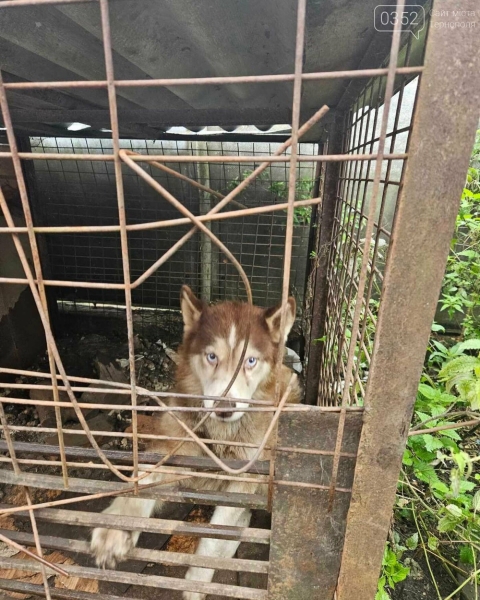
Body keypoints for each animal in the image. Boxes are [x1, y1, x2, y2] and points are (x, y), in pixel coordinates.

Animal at [90, 288, 300, 600]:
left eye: (250, 361)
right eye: (212, 356)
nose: (224, 407)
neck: (221, 435)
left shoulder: (244, 480)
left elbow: (214, 540)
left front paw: (196, 585)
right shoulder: (176, 449)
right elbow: (143, 483)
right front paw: (117, 527)